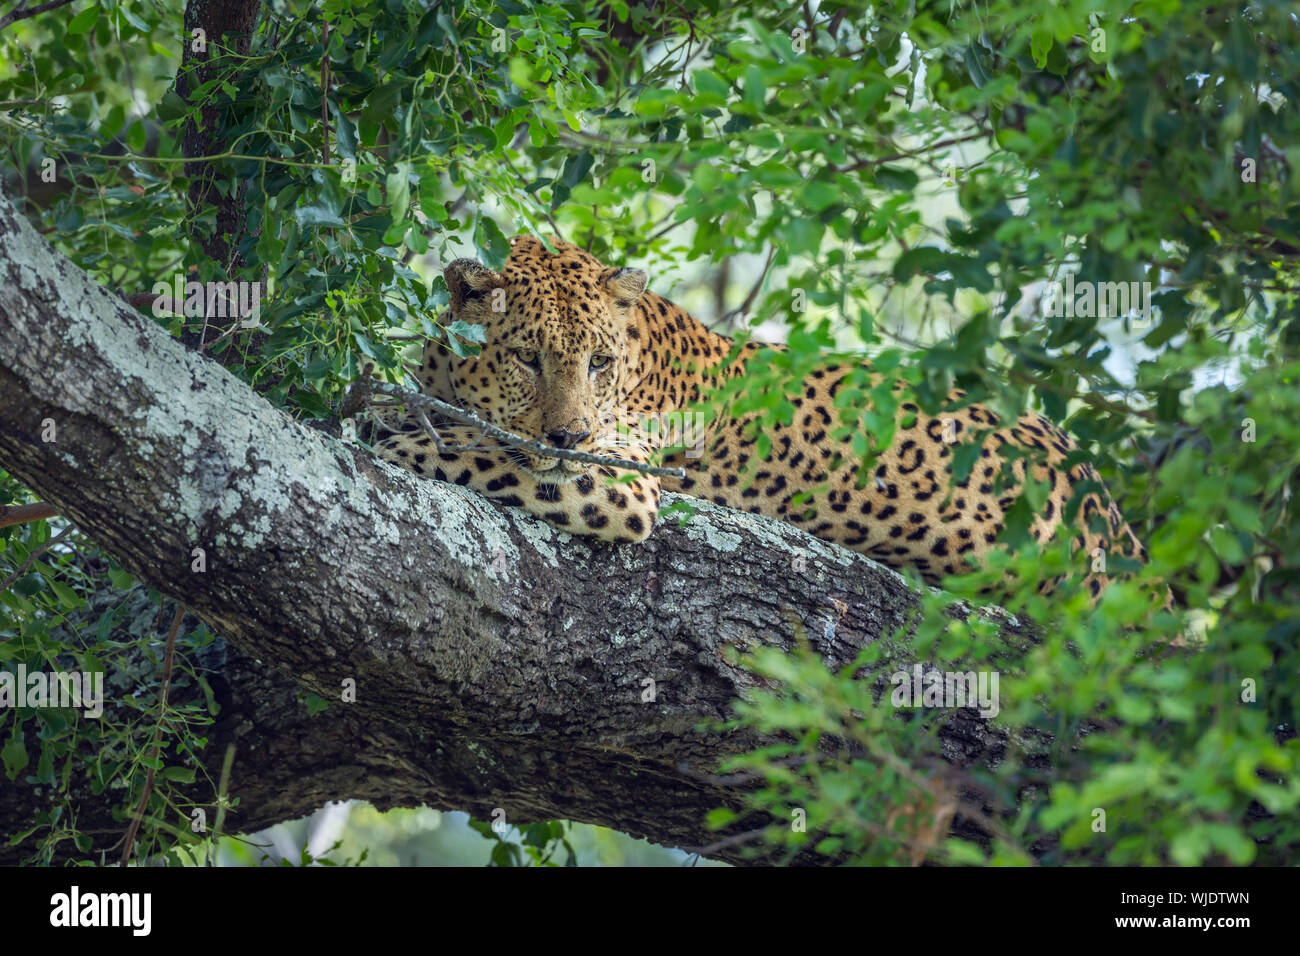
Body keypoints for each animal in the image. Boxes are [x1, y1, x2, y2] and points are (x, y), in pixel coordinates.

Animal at [373, 235, 1148, 598]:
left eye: (598, 362)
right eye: (528, 358)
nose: (571, 436)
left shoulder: (618, 479)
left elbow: (466, 448)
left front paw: (382, 433)